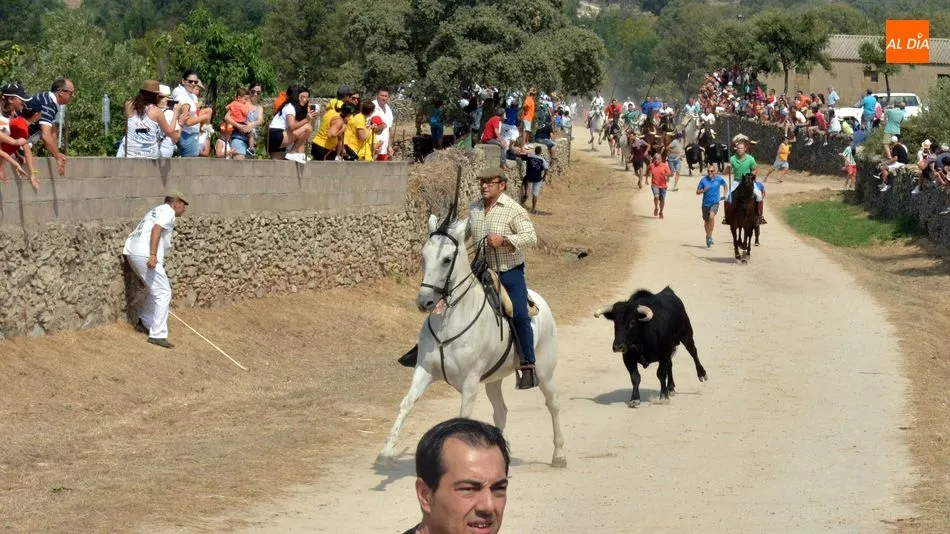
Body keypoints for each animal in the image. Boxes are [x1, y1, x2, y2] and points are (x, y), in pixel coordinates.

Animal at [377, 214, 567, 468]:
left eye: (447, 259)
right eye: (423, 255)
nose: (424, 301)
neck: (449, 322)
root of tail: (540, 301)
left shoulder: (469, 383)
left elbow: (462, 419)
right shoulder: (424, 370)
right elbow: (406, 404)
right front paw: (386, 452)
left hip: (545, 371)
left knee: (553, 404)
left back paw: (559, 455)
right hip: (494, 380)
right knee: (501, 411)